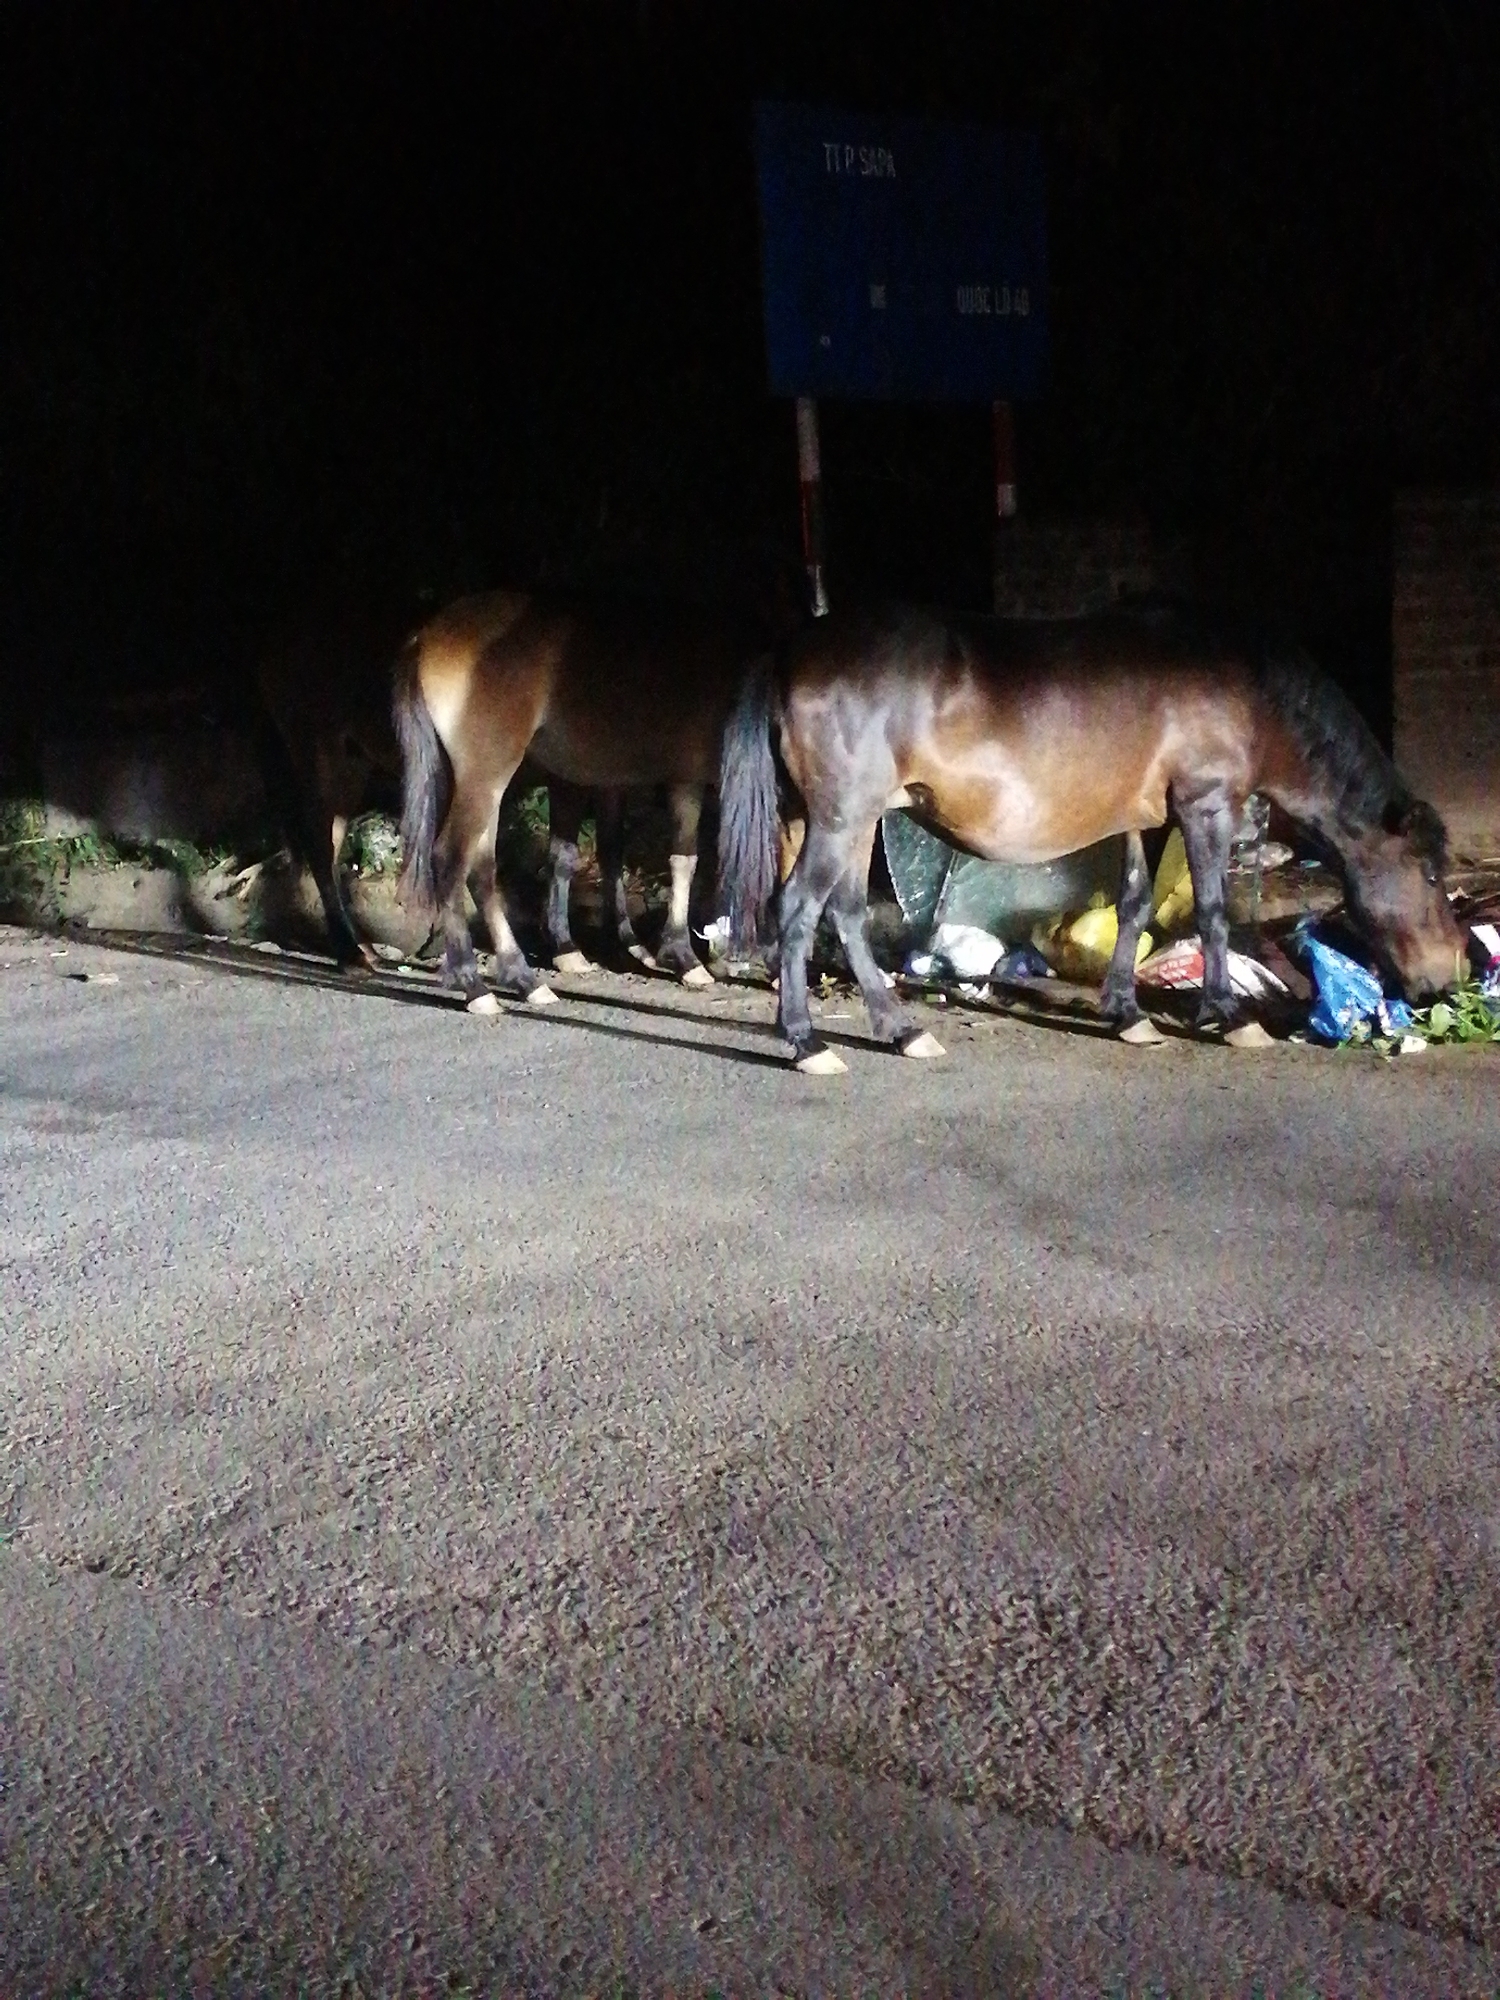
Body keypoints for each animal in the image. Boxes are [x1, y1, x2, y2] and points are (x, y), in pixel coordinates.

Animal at [393, 589, 769, 1011]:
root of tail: (424, 639)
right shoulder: (682, 780)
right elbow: (684, 859)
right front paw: (682, 957)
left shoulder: (600, 780)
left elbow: (607, 853)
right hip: (485, 776)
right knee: (451, 860)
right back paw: (475, 986)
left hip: (482, 780)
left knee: (482, 868)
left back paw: (524, 979)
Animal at [717, 601, 1465, 1073]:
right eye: (1430, 873)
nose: (1448, 976)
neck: (1253, 697)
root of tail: (792, 650)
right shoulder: (1206, 805)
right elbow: (1215, 912)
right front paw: (1227, 1014)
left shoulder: (1143, 818)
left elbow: (1134, 903)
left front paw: (1126, 1012)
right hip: (842, 819)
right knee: (800, 910)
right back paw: (807, 1042)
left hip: (845, 821)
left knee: (842, 914)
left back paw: (901, 1031)